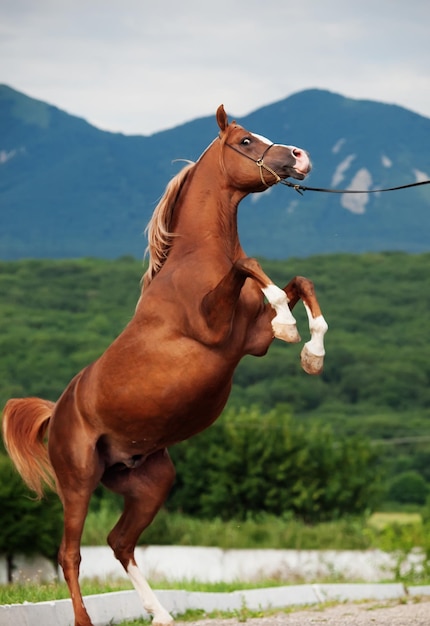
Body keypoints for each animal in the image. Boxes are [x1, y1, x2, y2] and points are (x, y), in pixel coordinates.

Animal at [1, 107, 328, 624]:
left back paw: (161, 613)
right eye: (245, 140)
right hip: (78, 483)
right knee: (70, 553)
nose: (300, 157)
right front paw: (290, 327)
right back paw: (86, 619)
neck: (193, 262)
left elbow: (300, 281)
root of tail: (57, 413)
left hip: (150, 482)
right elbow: (250, 265)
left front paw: (311, 352)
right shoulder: (214, 327)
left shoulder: (249, 341)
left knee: (119, 542)